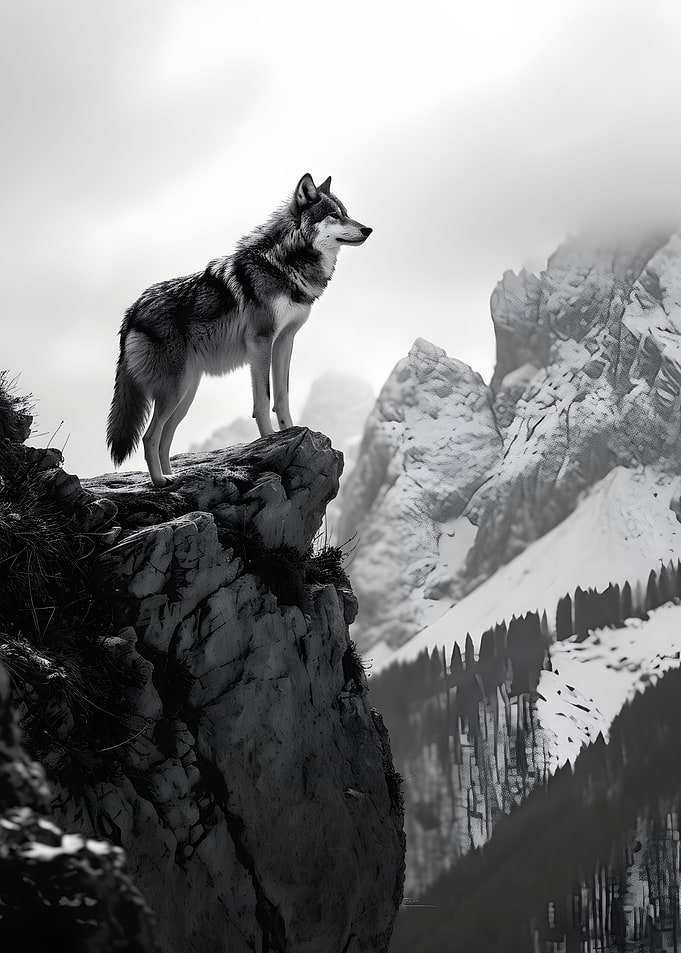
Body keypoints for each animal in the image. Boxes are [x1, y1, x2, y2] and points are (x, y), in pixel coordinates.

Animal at [106, 173, 372, 487]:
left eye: (346, 213)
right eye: (334, 215)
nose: (368, 229)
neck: (283, 264)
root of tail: (131, 311)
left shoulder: (285, 340)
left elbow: (282, 397)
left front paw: (291, 432)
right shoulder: (261, 341)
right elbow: (263, 400)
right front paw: (269, 440)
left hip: (185, 394)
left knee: (164, 439)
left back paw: (173, 476)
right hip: (174, 391)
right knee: (149, 437)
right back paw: (160, 482)